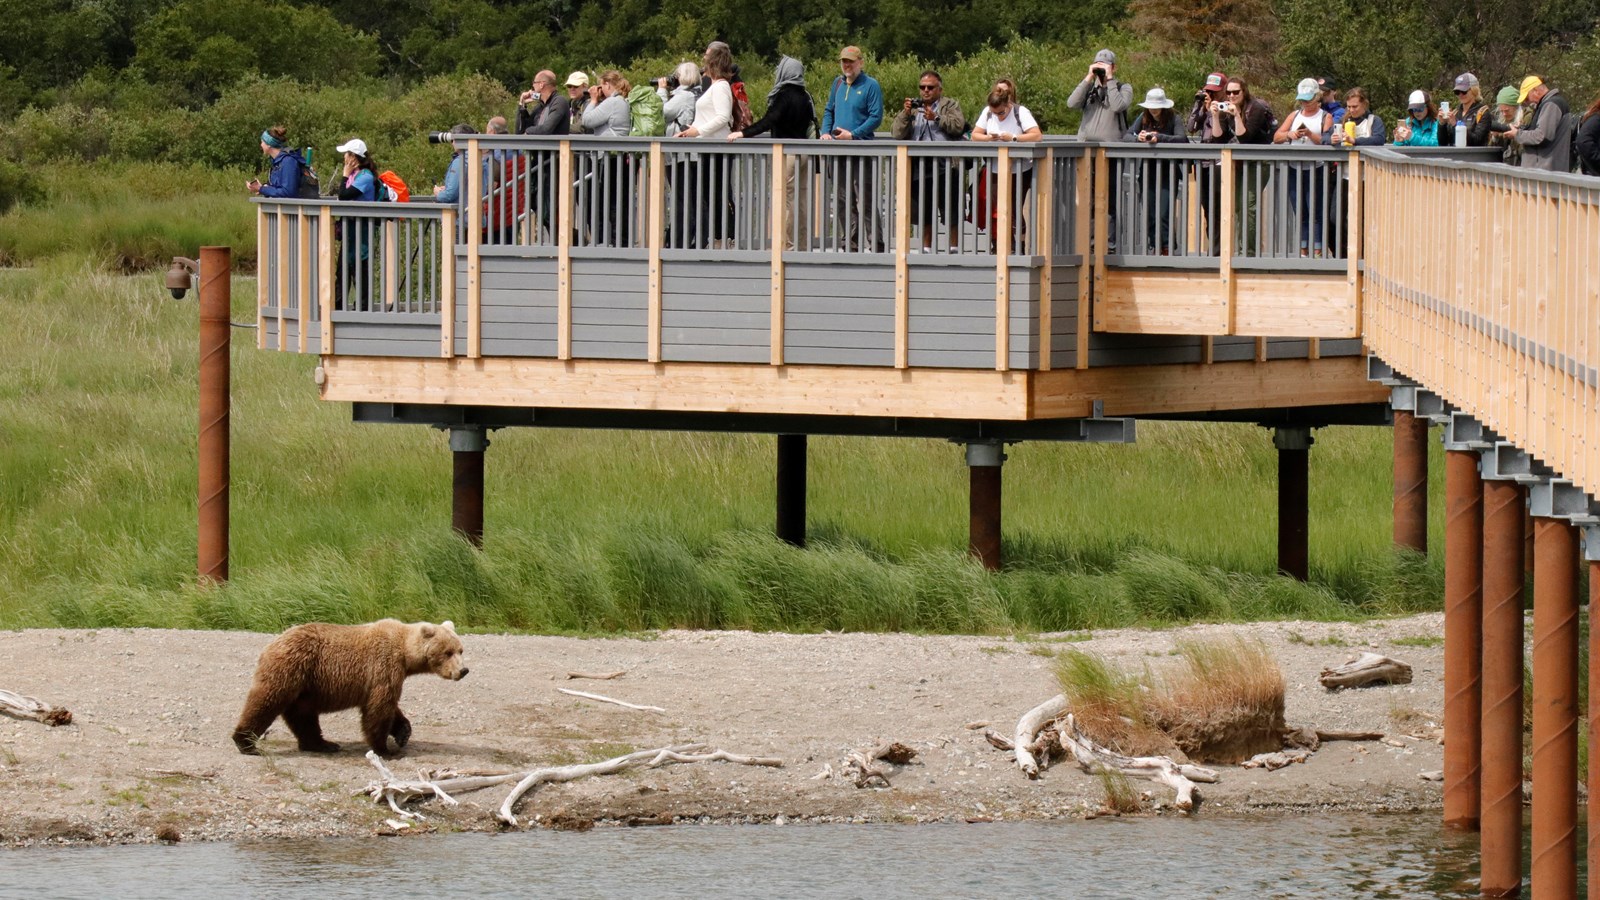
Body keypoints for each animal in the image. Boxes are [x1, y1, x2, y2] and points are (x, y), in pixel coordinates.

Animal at [232, 611, 467, 752]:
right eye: (448, 652)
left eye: (460, 650)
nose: (463, 670)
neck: (405, 653)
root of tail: (271, 644)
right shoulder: (383, 666)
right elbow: (379, 708)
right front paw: (383, 748)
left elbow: (390, 707)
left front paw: (403, 733)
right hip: (291, 668)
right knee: (266, 701)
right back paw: (245, 742)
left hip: (304, 685)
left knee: (303, 715)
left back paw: (322, 744)